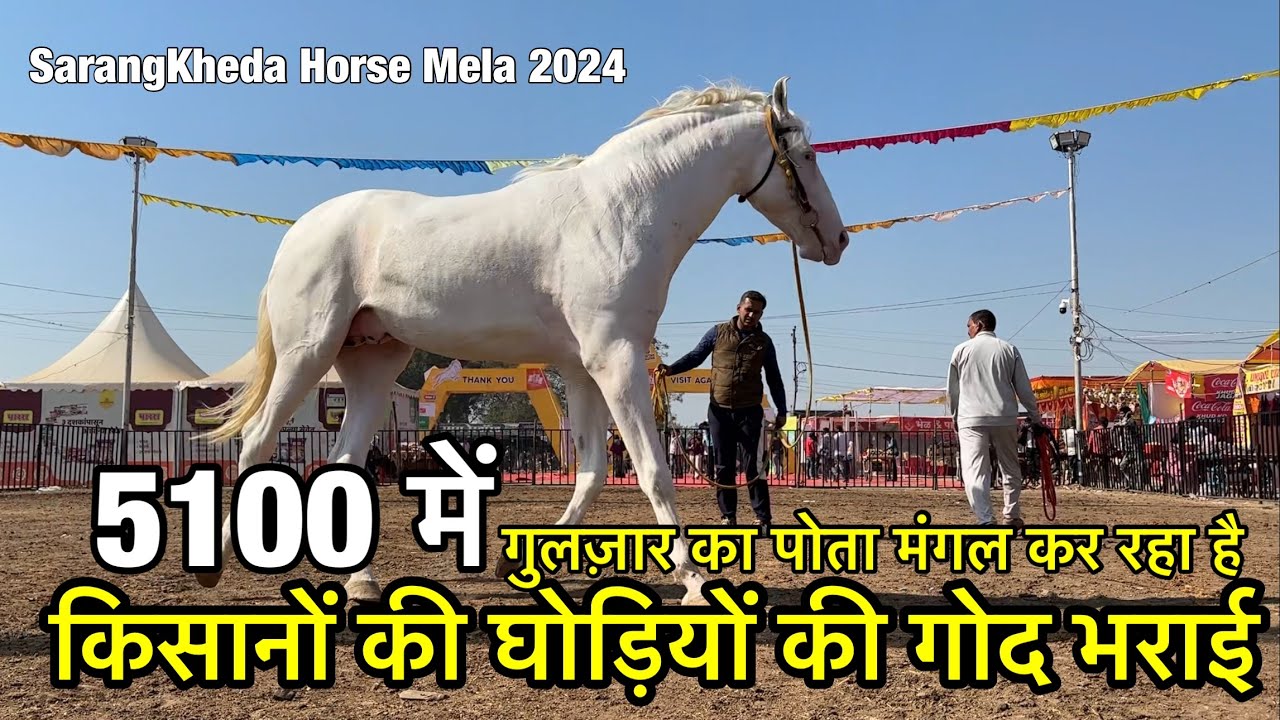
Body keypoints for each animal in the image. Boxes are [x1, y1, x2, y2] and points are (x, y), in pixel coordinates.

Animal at [195, 76, 850, 606]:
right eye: (806, 154)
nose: (839, 240)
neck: (622, 210)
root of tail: (299, 232)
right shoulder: (614, 361)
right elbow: (651, 471)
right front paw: (693, 582)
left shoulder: (585, 369)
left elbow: (591, 472)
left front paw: (533, 566)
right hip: (309, 353)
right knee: (256, 442)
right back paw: (216, 567)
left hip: (373, 367)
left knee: (345, 460)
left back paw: (361, 582)